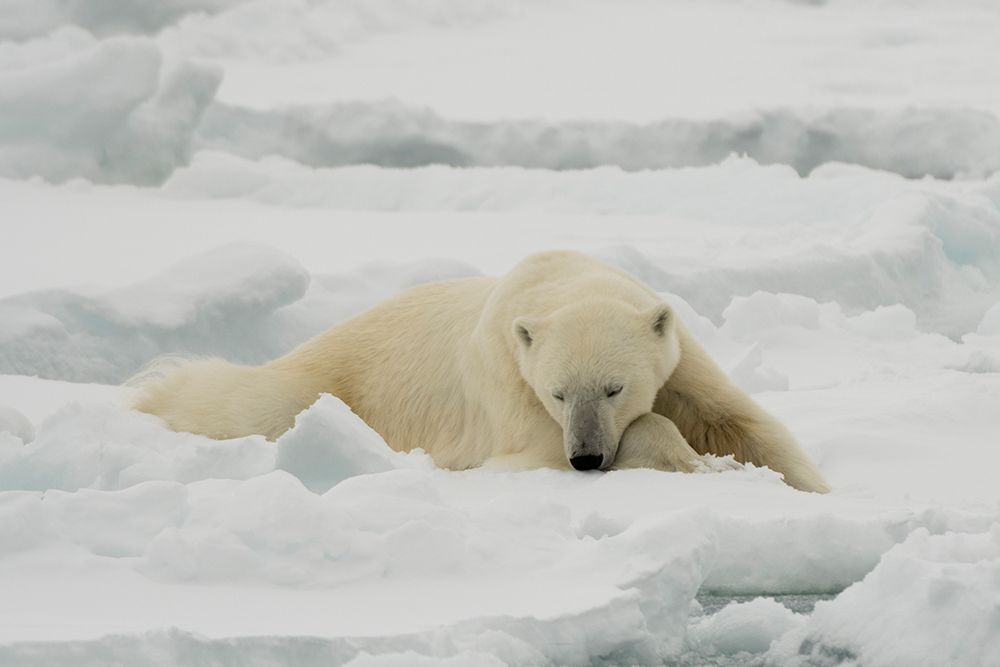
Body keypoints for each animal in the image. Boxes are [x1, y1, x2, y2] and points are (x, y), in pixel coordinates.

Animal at [133, 250, 830, 493]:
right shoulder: (509, 381)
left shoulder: (681, 360)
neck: (560, 276)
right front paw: (697, 464)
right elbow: (538, 449)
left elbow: (739, 420)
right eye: (557, 392)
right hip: (327, 382)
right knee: (245, 402)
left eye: (614, 386)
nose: (587, 458)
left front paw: (805, 486)